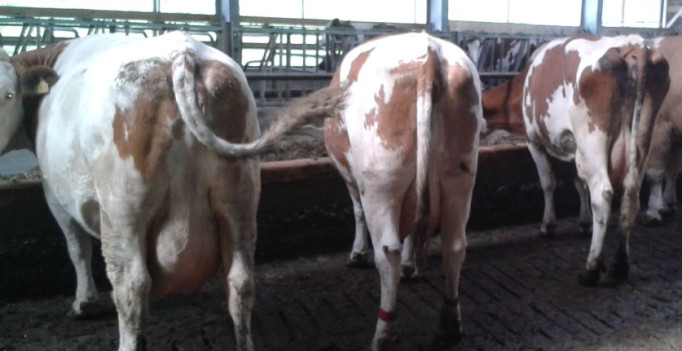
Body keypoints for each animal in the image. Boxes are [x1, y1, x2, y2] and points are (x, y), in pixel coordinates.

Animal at [0, 31, 340, 350]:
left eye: (8, 94)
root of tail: (183, 50)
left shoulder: (55, 193)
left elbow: (77, 248)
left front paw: (83, 303)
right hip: (240, 199)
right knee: (240, 281)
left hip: (123, 209)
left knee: (131, 287)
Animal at [322, 32, 480, 350]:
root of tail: (428, 53)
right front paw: (411, 267)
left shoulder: (353, 180)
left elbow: (357, 213)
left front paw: (357, 254)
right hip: (460, 178)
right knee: (455, 246)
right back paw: (449, 323)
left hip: (380, 181)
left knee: (387, 252)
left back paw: (384, 332)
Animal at [480, 33, 668, 286]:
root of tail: (632, 43)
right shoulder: (573, 145)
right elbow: (579, 183)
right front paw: (584, 222)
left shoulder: (535, 140)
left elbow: (548, 182)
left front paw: (548, 225)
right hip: (642, 138)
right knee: (631, 196)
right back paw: (619, 266)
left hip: (593, 139)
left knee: (602, 194)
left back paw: (592, 267)